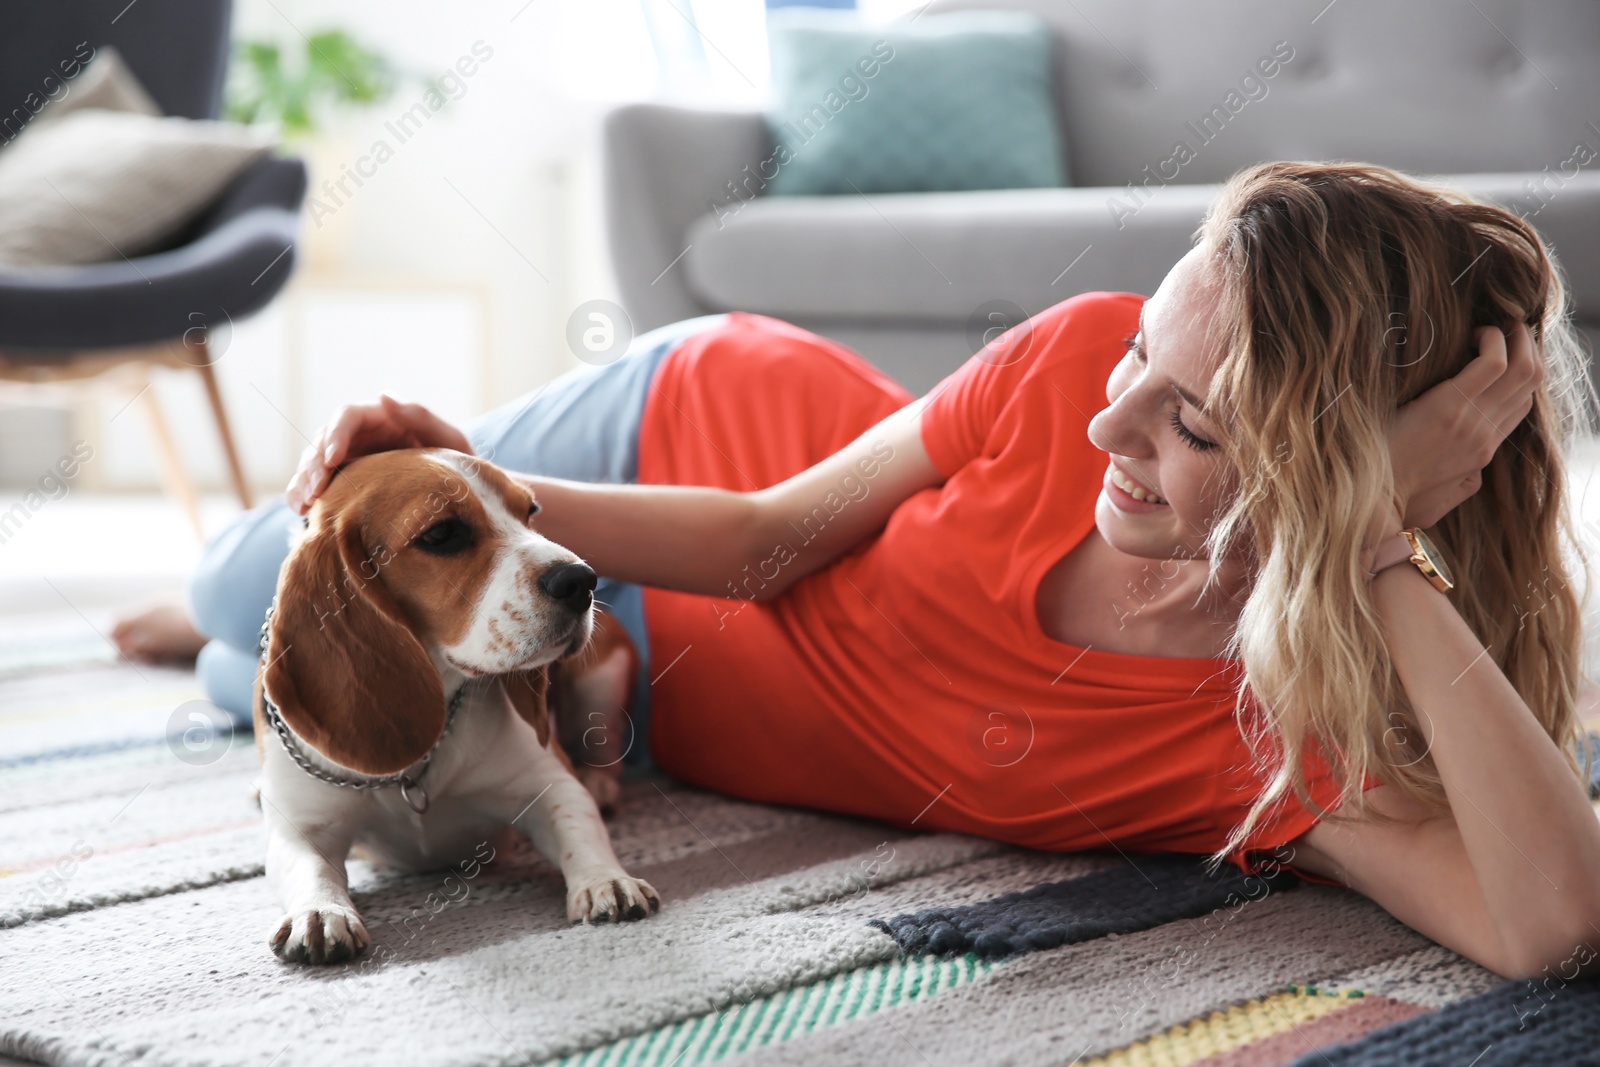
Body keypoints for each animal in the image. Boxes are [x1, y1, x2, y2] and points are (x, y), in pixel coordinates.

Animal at [256, 447, 656, 966]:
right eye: (442, 534)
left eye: (530, 512)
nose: (583, 580)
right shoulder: (302, 826)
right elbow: (308, 867)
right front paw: (321, 912)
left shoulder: (547, 785)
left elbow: (577, 824)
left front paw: (606, 879)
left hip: (602, 678)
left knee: (603, 745)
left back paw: (601, 781)